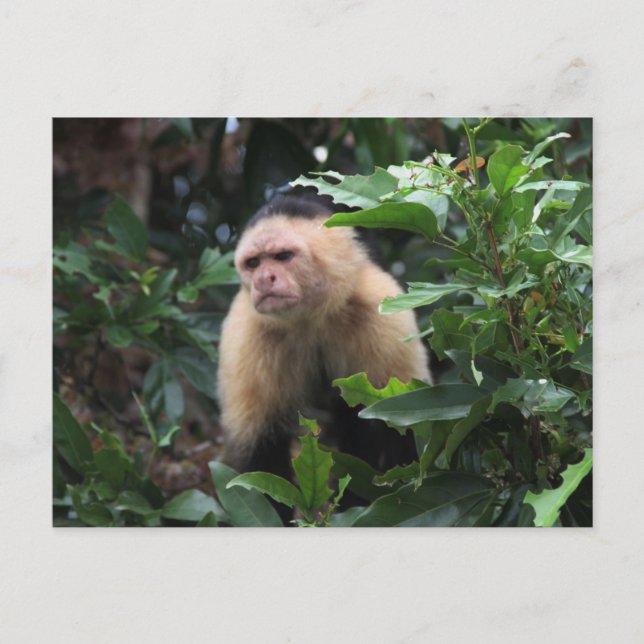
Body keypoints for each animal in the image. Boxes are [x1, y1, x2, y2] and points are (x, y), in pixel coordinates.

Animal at [216, 195, 430, 501]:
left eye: (283, 256)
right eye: (253, 263)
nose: (263, 279)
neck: (311, 318)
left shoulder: (379, 309)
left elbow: (401, 427)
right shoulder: (246, 333)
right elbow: (258, 449)